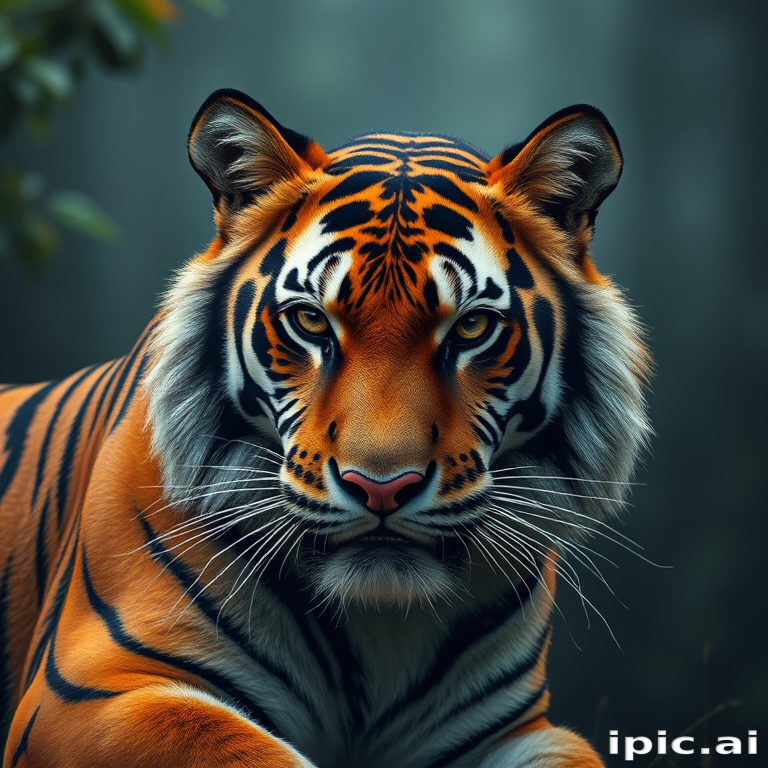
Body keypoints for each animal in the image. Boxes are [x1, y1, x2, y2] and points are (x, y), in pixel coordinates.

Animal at [0, 88, 651, 768]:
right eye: (311, 321)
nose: (382, 489)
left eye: (472, 328)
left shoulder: (515, 729)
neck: (381, 628)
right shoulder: (84, 692)